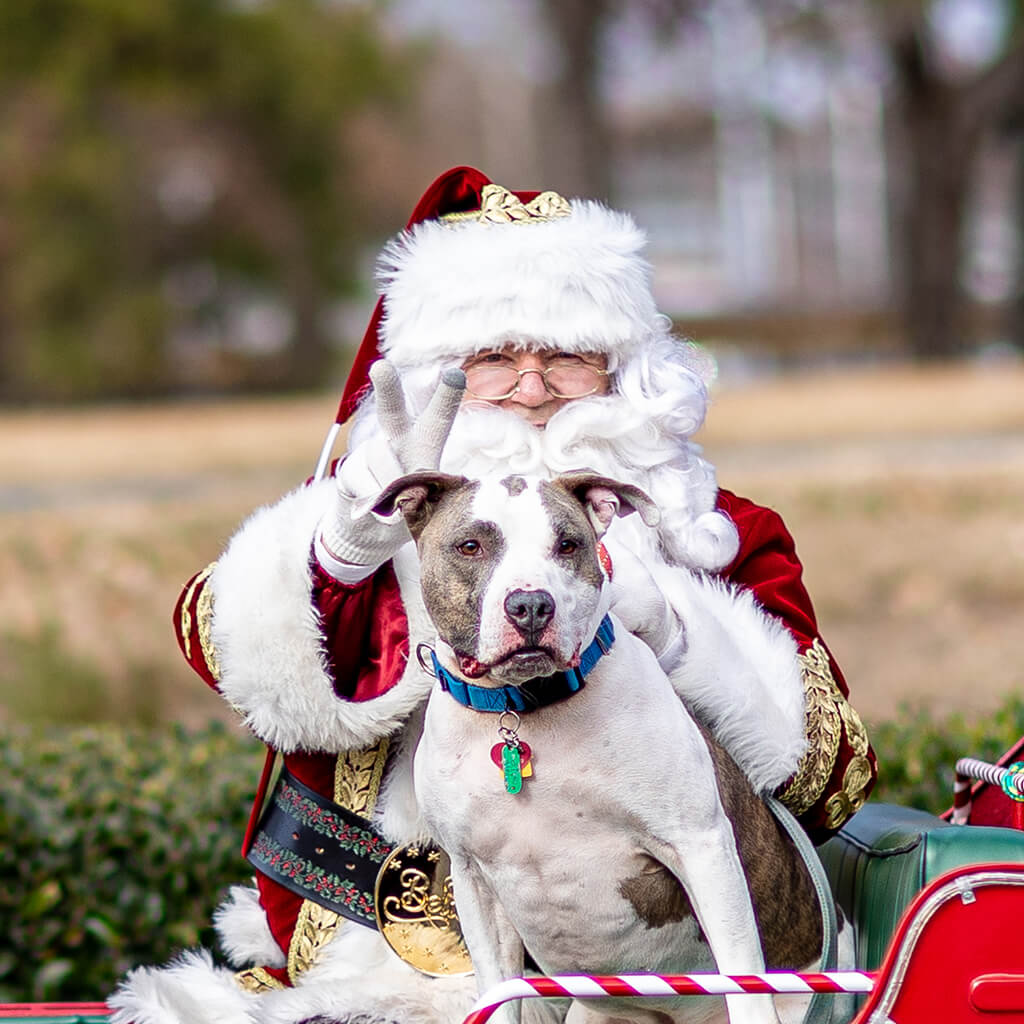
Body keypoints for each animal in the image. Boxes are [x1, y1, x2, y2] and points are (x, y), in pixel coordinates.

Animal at [372, 471, 827, 1024]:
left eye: (568, 544)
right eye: (471, 546)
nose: (530, 605)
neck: (524, 711)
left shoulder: (700, 845)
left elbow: (743, 977)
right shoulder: (473, 878)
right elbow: (498, 993)